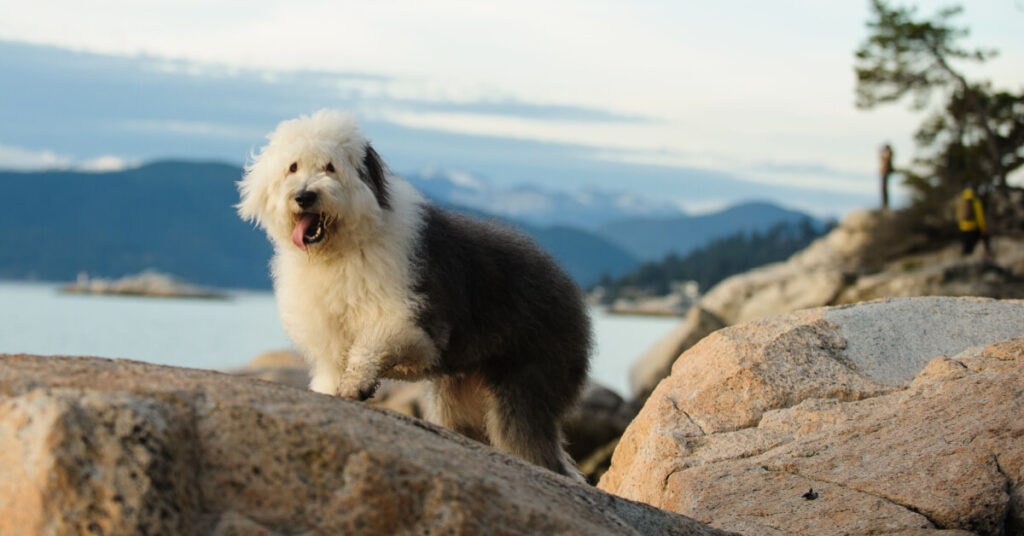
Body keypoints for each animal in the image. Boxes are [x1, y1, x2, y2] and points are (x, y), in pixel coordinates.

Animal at [237, 109, 593, 477]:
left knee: (539, 450)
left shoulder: (413, 320)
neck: (341, 249)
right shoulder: (330, 339)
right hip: (459, 398)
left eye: (330, 167)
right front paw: (335, 391)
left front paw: (357, 384)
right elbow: (330, 370)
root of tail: (571, 286)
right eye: (292, 167)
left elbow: (374, 342)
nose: (304, 196)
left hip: (528, 384)